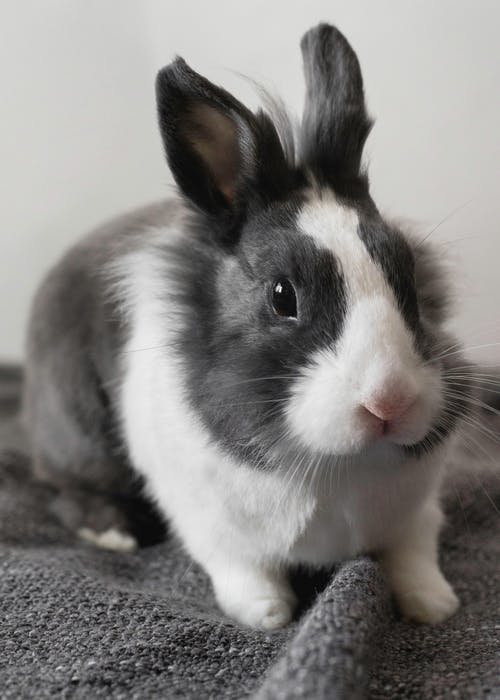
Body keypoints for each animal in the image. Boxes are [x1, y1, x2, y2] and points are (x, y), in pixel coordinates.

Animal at [23, 23, 476, 629]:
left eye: (409, 275)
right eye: (282, 296)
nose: (389, 403)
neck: (338, 465)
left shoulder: (417, 512)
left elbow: (414, 553)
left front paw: (435, 604)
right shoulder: (211, 524)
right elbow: (244, 570)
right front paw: (268, 615)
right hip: (76, 434)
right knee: (64, 489)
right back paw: (115, 533)